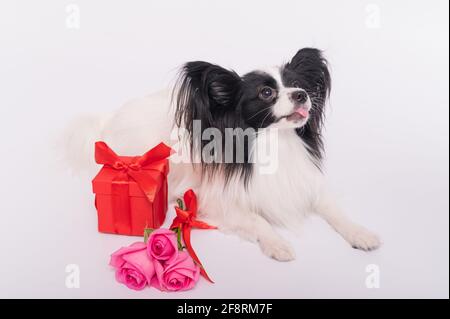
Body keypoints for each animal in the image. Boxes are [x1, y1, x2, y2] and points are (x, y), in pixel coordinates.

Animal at [67, 48, 382, 262]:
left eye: (298, 86)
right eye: (266, 93)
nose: (302, 95)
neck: (276, 143)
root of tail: (109, 119)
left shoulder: (307, 186)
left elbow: (335, 210)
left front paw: (360, 233)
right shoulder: (219, 204)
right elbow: (259, 220)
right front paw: (277, 244)